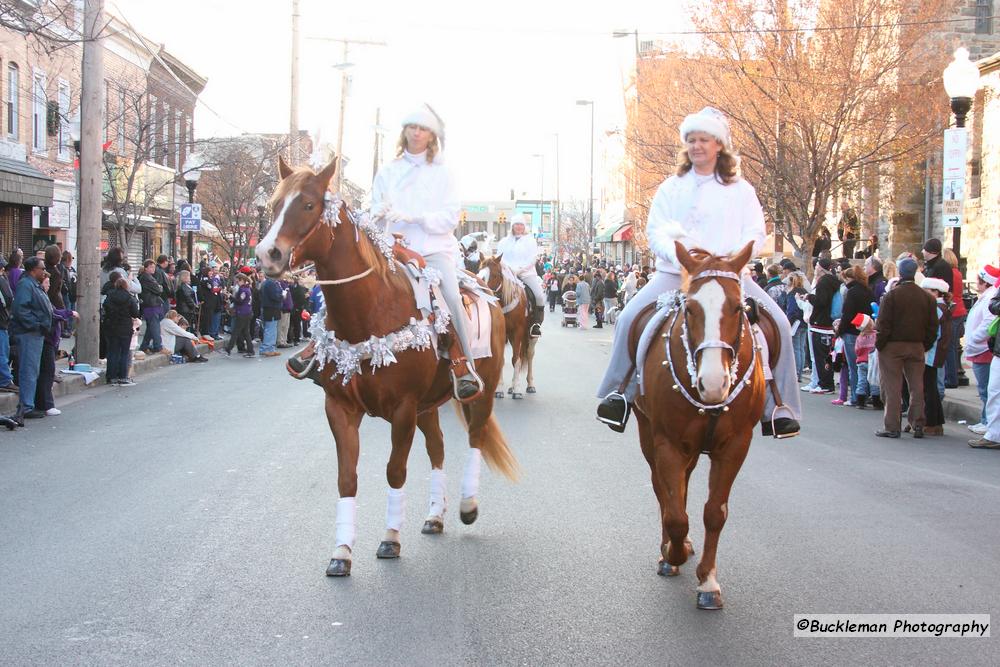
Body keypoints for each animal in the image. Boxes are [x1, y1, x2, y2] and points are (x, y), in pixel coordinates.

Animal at [254, 158, 520, 580]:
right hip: (430, 406)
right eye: (274, 203)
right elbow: (347, 478)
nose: (268, 255)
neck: (369, 313)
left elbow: (395, 471)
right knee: (438, 448)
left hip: (482, 392)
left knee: (476, 439)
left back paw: (467, 506)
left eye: (309, 204)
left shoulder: (403, 409)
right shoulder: (340, 408)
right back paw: (435, 515)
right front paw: (342, 551)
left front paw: (391, 538)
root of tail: (484, 289)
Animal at [478, 256, 536, 402]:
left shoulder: (518, 332)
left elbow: (516, 359)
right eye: (479, 271)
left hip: (530, 336)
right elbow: (502, 360)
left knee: (529, 355)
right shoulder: (502, 334)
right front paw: (499, 389)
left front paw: (517, 390)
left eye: (495, 274)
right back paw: (511, 386)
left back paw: (530, 384)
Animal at [632, 241, 764, 612]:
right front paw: (671, 554)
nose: (714, 382)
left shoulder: (736, 445)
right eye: (690, 309)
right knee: (663, 491)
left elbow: (714, 513)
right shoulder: (668, 443)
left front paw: (708, 582)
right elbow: (675, 514)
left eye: (738, 307)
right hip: (648, 433)